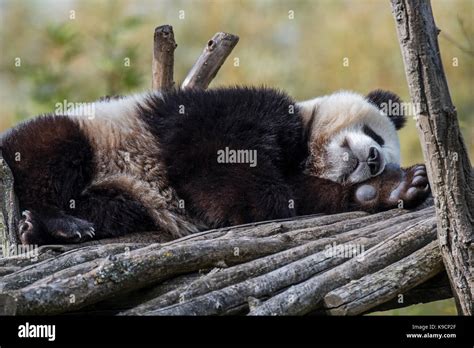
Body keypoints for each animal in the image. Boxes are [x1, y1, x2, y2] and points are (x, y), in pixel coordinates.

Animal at [0, 86, 430, 245]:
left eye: (384, 157)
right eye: (376, 136)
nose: (374, 160)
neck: (307, 153)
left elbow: (309, 196)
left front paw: (390, 188)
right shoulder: (227, 110)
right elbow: (213, 155)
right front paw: (263, 198)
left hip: (122, 199)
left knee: (116, 210)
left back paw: (45, 228)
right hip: (88, 134)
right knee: (50, 150)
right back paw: (58, 221)